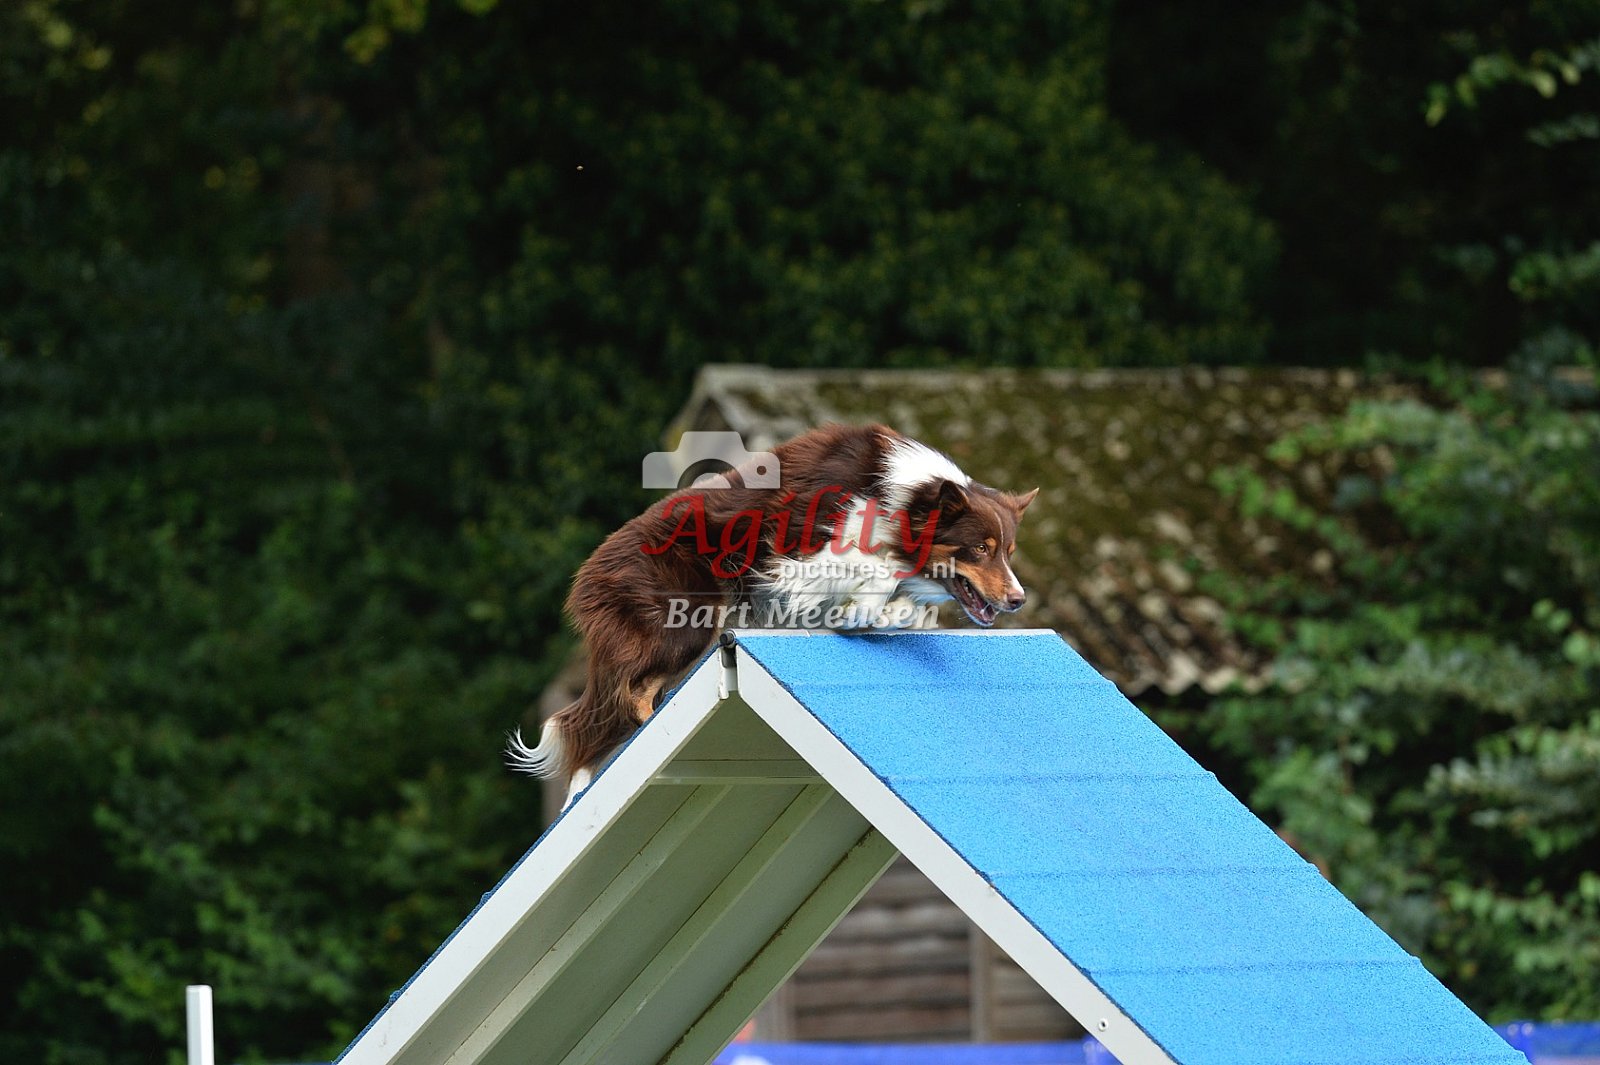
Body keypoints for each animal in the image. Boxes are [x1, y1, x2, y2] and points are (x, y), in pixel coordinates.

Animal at [507, 423, 1036, 802]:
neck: (907, 499)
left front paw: (876, 614)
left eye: (1009, 551)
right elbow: (874, 566)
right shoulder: (799, 554)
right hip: (685, 624)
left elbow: (900, 602)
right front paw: (864, 604)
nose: (1018, 599)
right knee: (623, 702)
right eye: (981, 548)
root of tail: (588, 570)